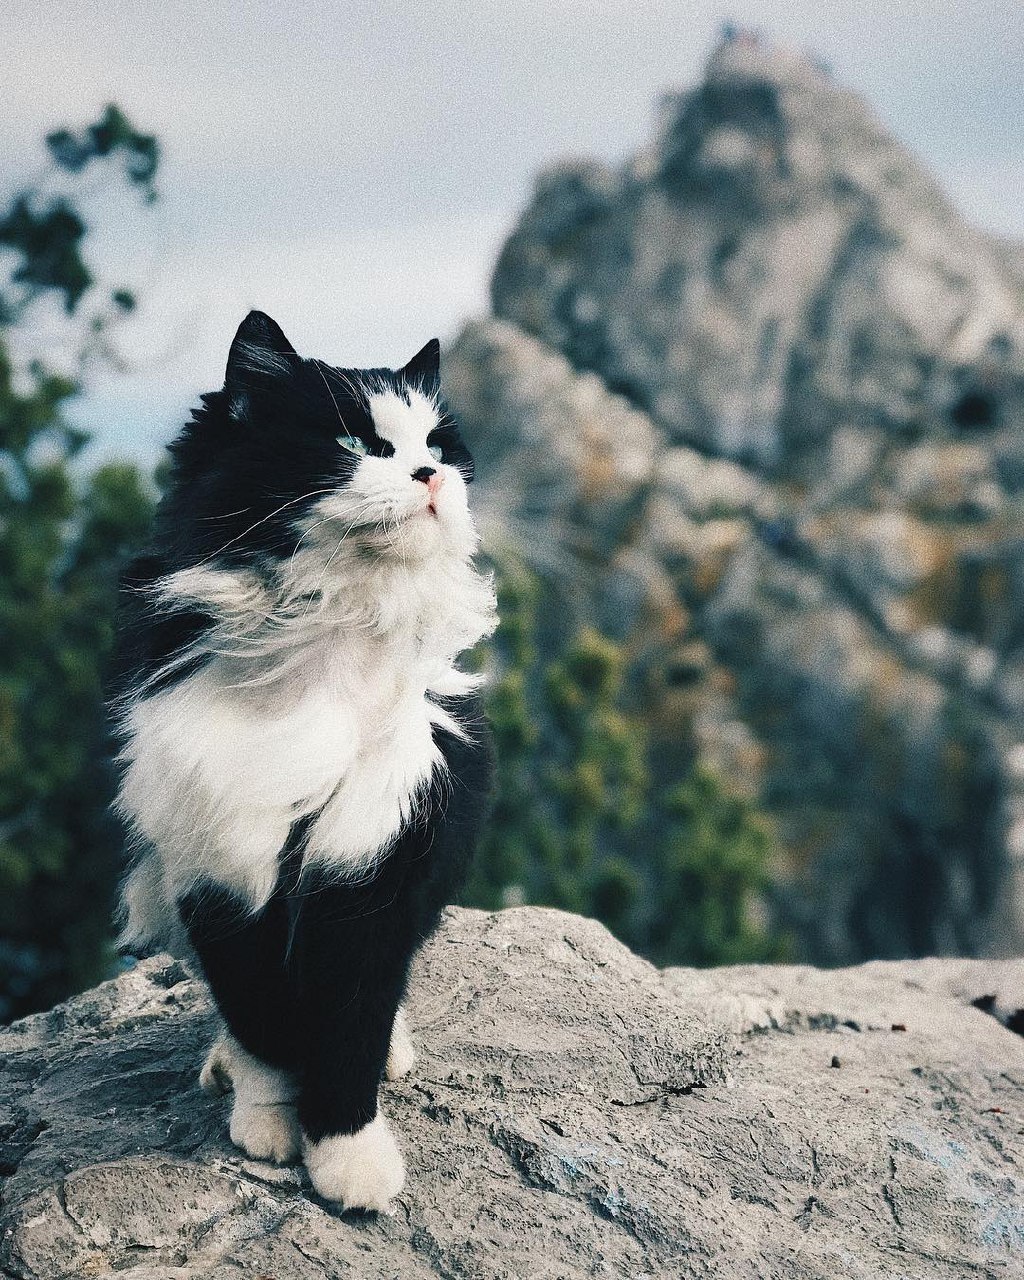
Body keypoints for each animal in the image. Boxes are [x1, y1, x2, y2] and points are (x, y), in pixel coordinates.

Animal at [110, 312, 499, 1208]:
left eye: (437, 445)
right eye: (355, 443)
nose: (430, 474)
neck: (324, 640)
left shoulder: (371, 865)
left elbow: (347, 1028)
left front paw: (350, 1166)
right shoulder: (222, 868)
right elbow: (260, 1024)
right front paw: (269, 1125)